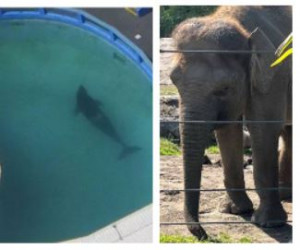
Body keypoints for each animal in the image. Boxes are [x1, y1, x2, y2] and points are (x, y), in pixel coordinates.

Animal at [170, 6, 292, 240]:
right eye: (173, 81)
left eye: (224, 88)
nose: (205, 235)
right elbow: (228, 130)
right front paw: (235, 210)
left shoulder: (274, 75)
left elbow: (262, 128)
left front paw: (269, 223)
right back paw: (284, 194)